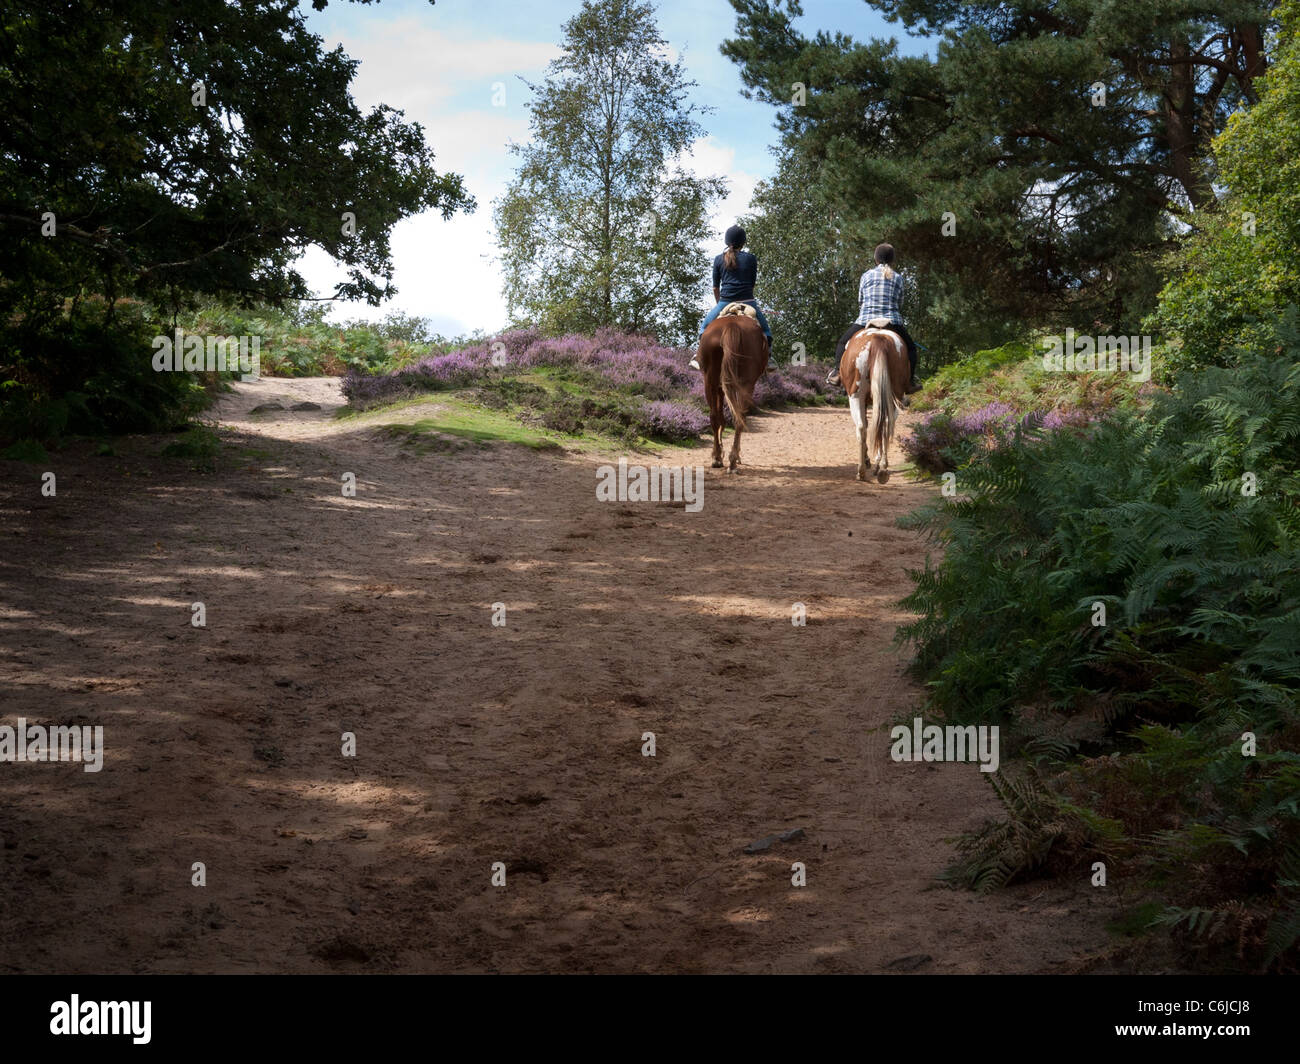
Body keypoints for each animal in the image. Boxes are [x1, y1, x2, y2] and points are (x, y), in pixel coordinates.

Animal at [702, 308, 769, 470]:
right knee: (739, 417)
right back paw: (732, 459)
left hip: (711, 381)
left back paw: (718, 458)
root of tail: (731, 325)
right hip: (745, 384)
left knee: (717, 416)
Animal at [837, 329, 909, 483]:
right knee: (885, 424)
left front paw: (866, 460)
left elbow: (865, 425)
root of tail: (878, 338)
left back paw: (862, 471)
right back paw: (882, 468)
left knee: (861, 427)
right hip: (894, 396)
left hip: (855, 397)